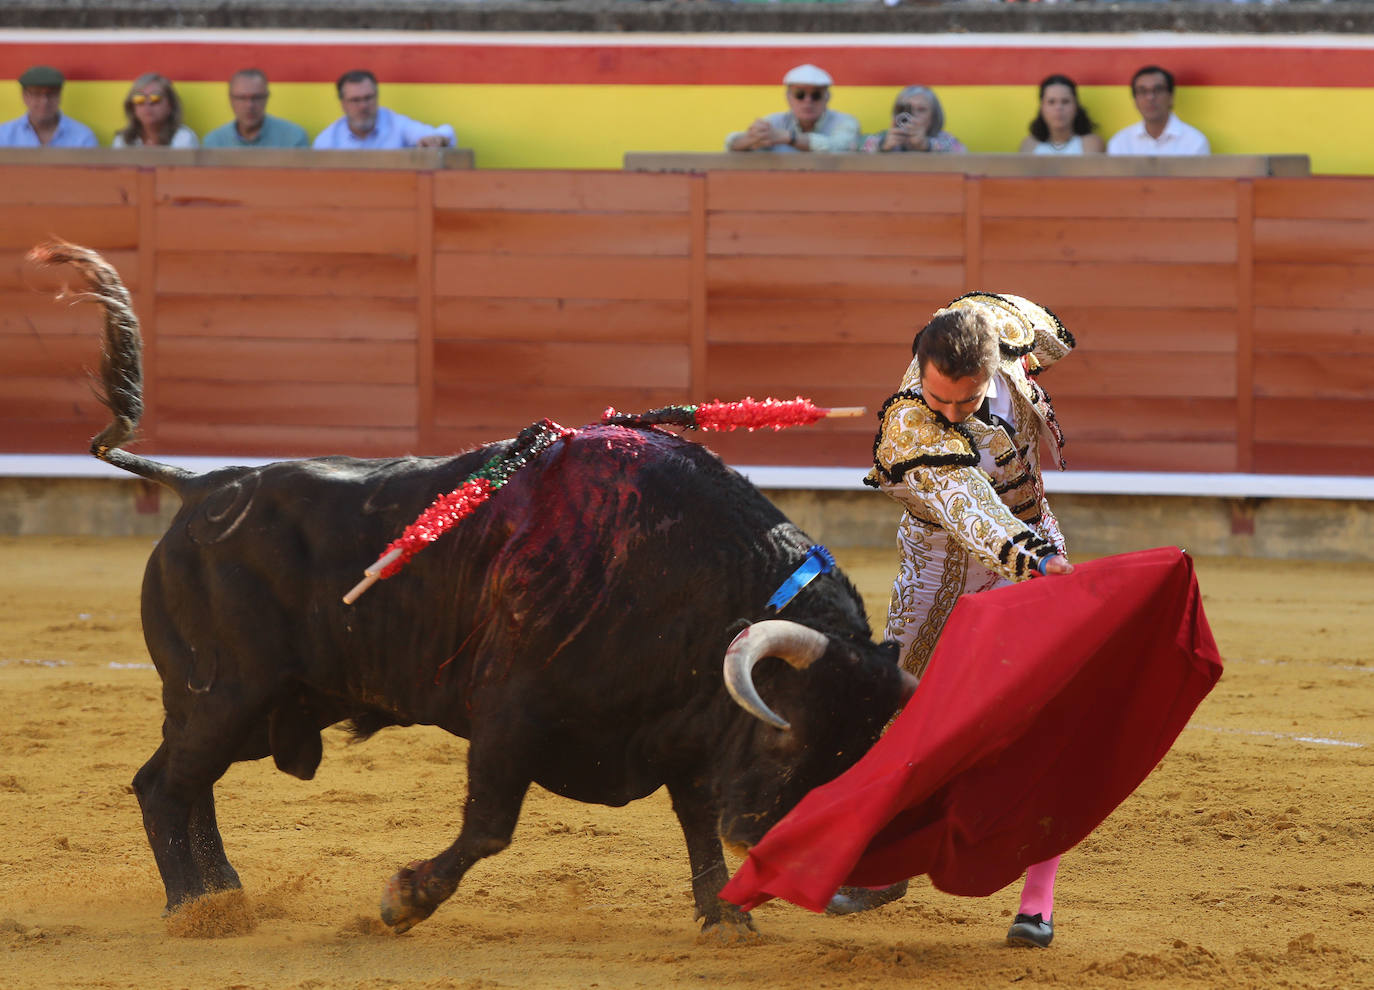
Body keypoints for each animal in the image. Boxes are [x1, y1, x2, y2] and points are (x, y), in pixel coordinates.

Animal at [34, 241, 912, 933]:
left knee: (188, 785)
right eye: (787, 738)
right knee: (165, 785)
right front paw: (404, 899)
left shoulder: (686, 729)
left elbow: (694, 818)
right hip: (226, 693)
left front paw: (724, 917)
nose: (855, 888)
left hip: (261, 705)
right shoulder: (510, 710)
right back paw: (196, 910)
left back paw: (224, 894)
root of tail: (201, 486)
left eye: (861, 753)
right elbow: (492, 824)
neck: (696, 581)